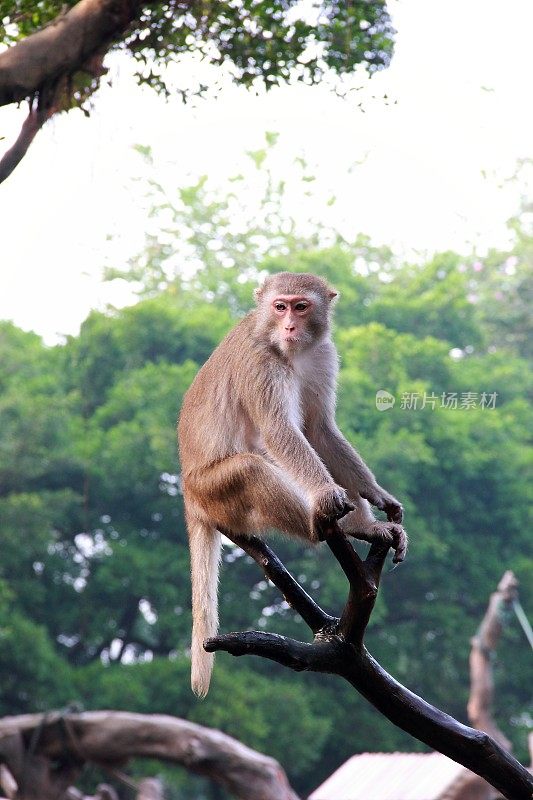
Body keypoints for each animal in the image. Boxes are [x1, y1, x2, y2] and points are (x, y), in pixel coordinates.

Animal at [177, 272, 406, 696]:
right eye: (279, 306)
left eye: (301, 307)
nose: (289, 327)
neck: (288, 350)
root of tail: (188, 494)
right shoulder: (261, 362)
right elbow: (280, 431)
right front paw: (330, 497)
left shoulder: (324, 355)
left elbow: (319, 429)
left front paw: (376, 495)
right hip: (213, 489)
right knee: (251, 466)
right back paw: (324, 524)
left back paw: (362, 526)